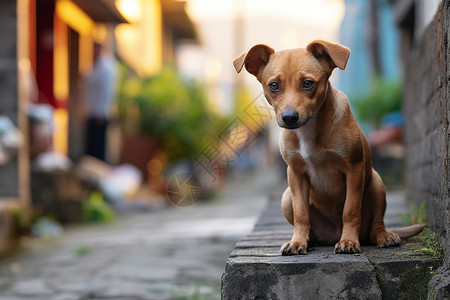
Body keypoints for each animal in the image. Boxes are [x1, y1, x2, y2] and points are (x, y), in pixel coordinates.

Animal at [234, 39, 424, 254]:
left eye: (308, 83)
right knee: (309, 226)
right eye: (274, 86)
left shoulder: (354, 168)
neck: (309, 130)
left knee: (376, 225)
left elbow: (350, 210)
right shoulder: (296, 174)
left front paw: (348, 241)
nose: (289, 117)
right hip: (286, 197)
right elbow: (301, 214)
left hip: (377, 184)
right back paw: (308, 240)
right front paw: (297, 242)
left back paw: (384, 236)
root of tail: (332, 233)